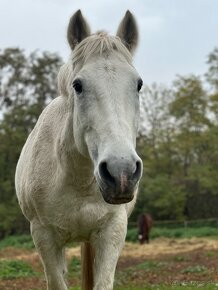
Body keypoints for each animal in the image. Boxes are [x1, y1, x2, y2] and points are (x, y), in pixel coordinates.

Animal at [16, 10, 144, 290]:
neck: (78, 181)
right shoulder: (44, 236)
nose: (121, 173)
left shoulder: (112, 231)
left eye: (138, 84)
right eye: (78, 85)